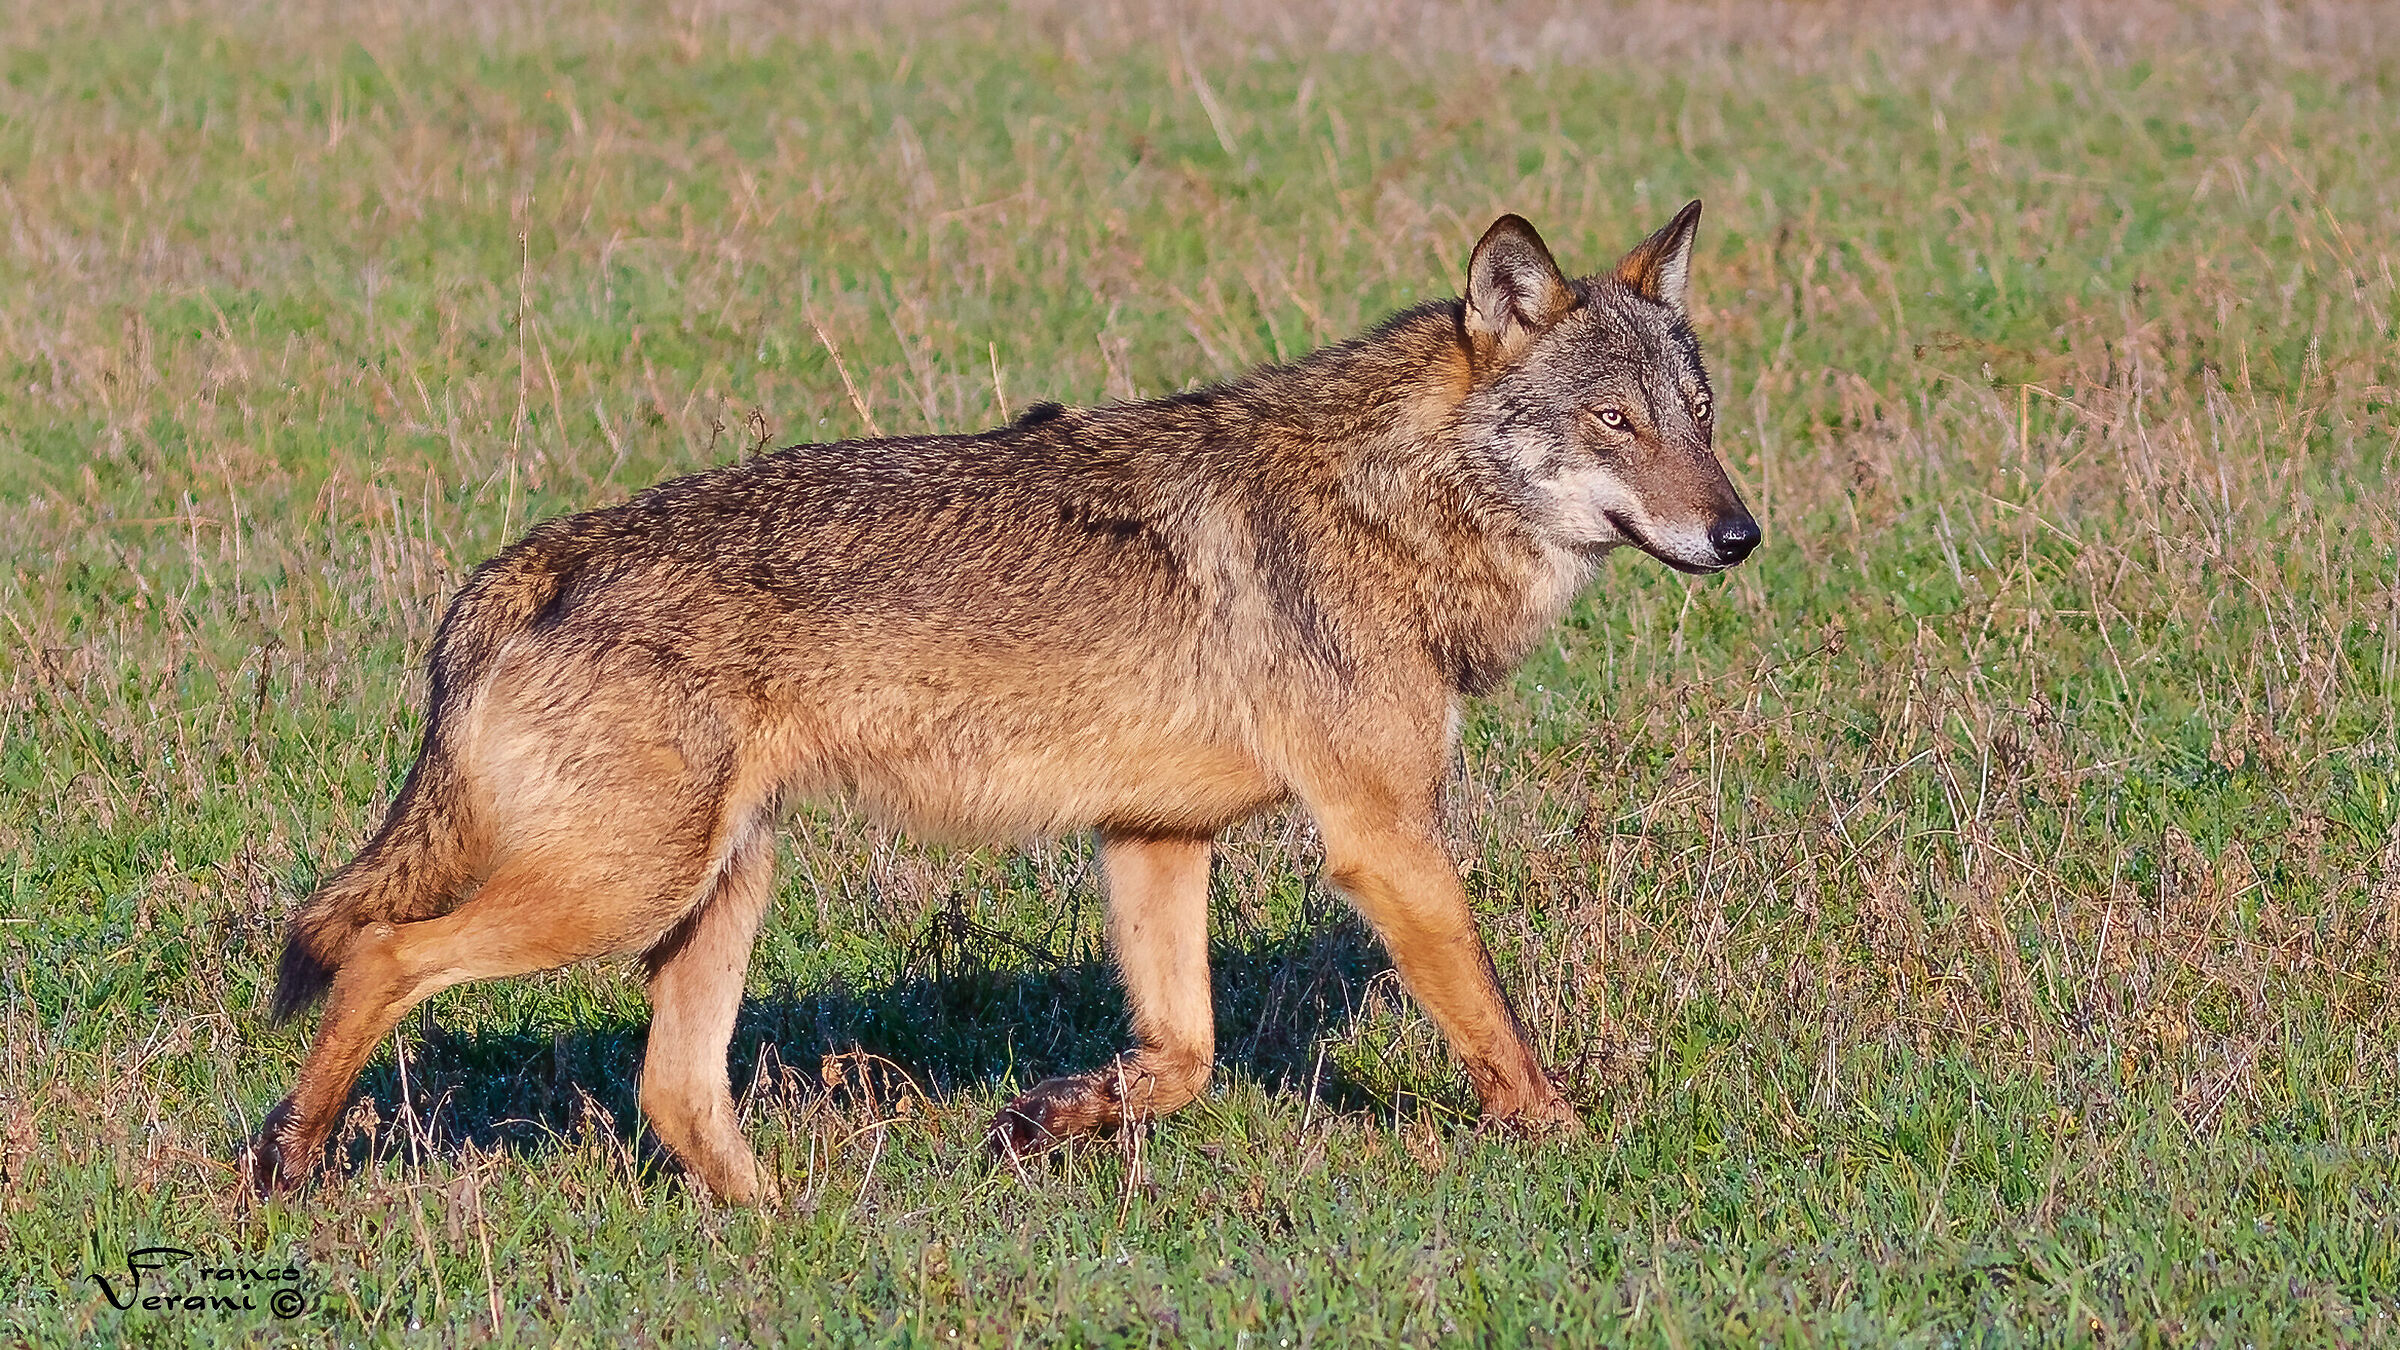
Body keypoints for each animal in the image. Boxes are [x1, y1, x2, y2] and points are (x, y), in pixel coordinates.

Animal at [240, 203, 1758, 1203]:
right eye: (1615, 424)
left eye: (1703, 416)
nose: (1741, 536)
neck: (1392, 505)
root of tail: (526, 564)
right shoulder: (1382, 841)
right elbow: (1497, 1031)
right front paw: (1580, 1153)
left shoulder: (1154, 838)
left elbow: (1185, 1054)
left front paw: (1049, 1121)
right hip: (617, 891)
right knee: (383, 959)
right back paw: (285, 1160)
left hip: (715, 888)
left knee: (672, 1089)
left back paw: (789, 1235)